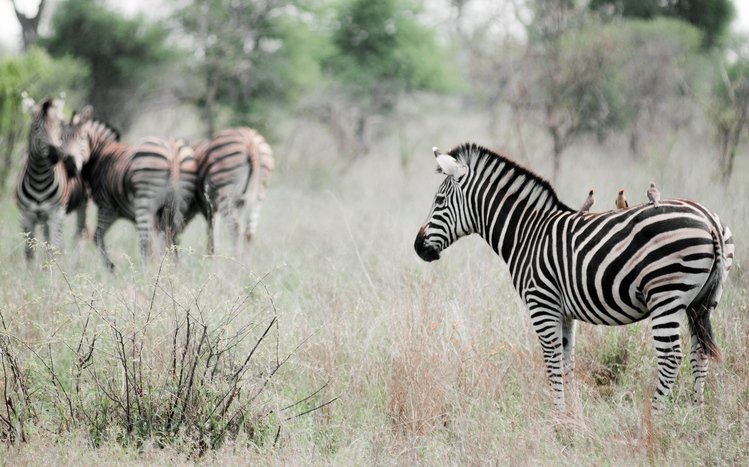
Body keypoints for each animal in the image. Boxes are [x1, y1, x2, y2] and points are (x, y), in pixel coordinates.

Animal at [15, 94, 88, 261]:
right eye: (36, 128)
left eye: (57, 127)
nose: (56, 156)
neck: (39, 179)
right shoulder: (26, 216)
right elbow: (29, 253)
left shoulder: (56, 214)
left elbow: (54, 249)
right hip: (43, 219)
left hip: (82, 204)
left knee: (81, 234)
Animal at [63, 106, 198, 269]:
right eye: (61, 140)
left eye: (81, 138)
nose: (69, 164)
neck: (100, 155)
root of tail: (172, 150)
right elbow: (160, 242)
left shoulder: (107, 207)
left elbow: (97, 236)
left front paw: (110, 267)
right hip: (179, 203)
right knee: (173, 237)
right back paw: (173, 270)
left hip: (145, 200)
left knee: (145, 242)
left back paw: (145, 271)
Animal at [414, 143, 734, 411]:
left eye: (439, 200)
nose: (418, 247)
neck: (527, 233)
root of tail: (708, 221)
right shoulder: (564, 311)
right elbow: (568, 361)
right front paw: (571, 416)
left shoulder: (541, 303)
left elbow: (552, 361)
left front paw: (557, 418)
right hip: (702, 301)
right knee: (699, 353)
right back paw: (696, 414)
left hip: (666, 295)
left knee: (670, 358)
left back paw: (654, 418)